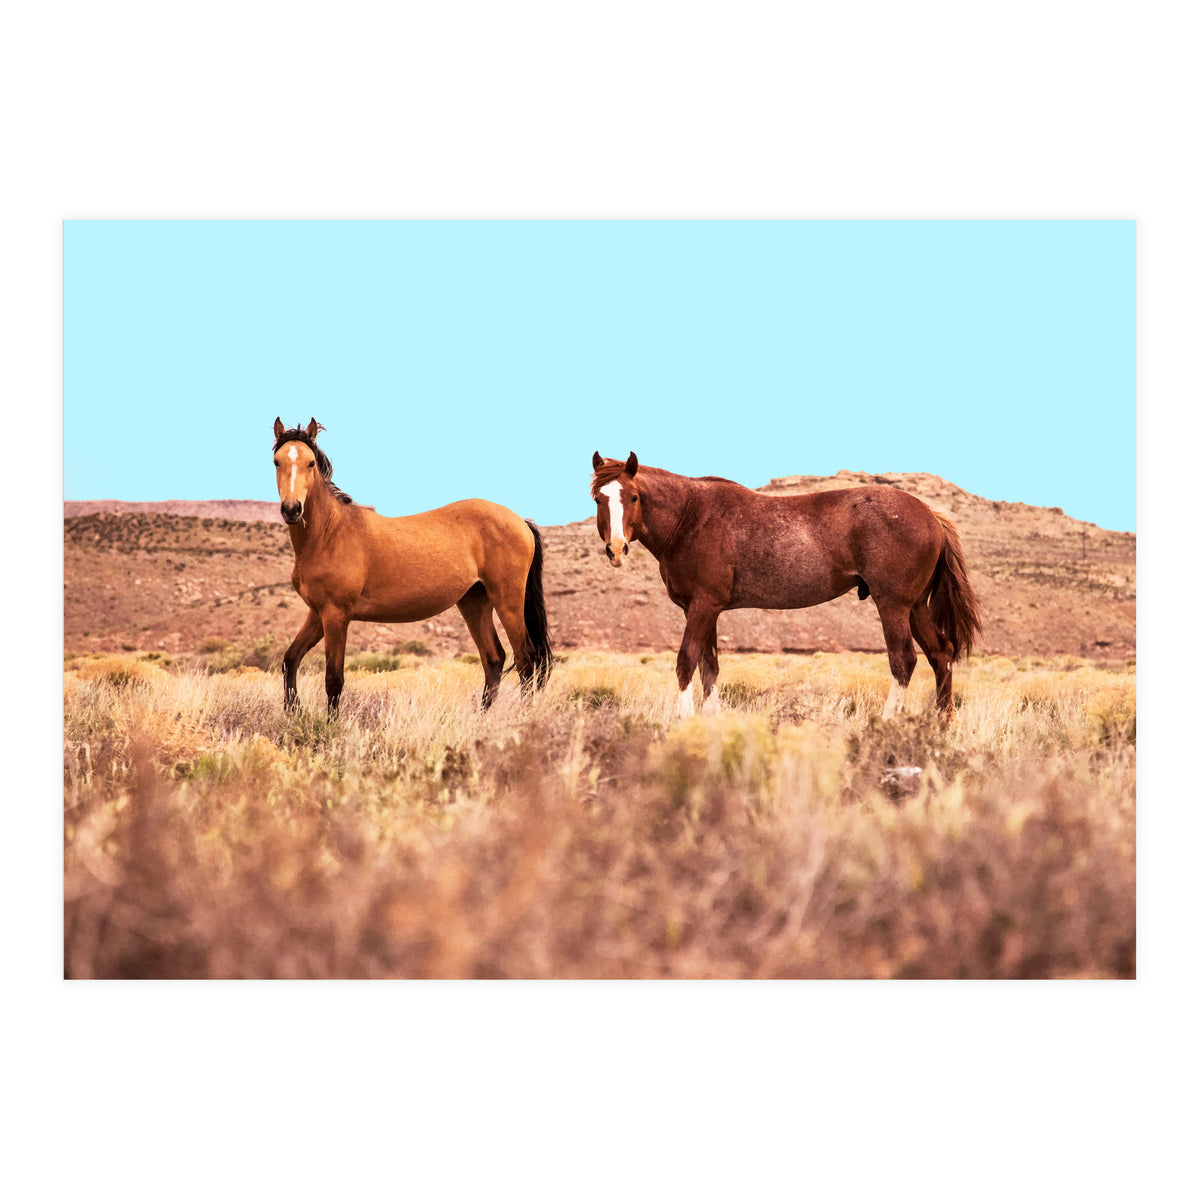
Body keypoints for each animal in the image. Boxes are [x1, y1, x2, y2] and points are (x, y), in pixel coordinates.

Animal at [271, 418, 552, 714]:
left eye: (310, 462)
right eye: (277, 461)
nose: (292, 509)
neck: (330, 533)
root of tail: (520, 521)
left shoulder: (336, 615)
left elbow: (333, 679)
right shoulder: (318, 613)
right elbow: (290, 660)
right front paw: (293, 711)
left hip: (508, 601)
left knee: (526, 660)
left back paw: (522, 716)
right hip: (474, 602)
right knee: (494, 658)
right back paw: (482, 718)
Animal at [590, 452, 981, 718]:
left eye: (633, 497)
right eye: (598, 499)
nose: (616, 549)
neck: (691, 517)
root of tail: (931, 515)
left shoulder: (703, 606)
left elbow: (686, 661)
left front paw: (684, 720)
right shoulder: (705, 610)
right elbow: (709, 667)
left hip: (893, 605)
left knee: (904, 661)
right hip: (914, 607)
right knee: (941, 654)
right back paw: (940, 724)